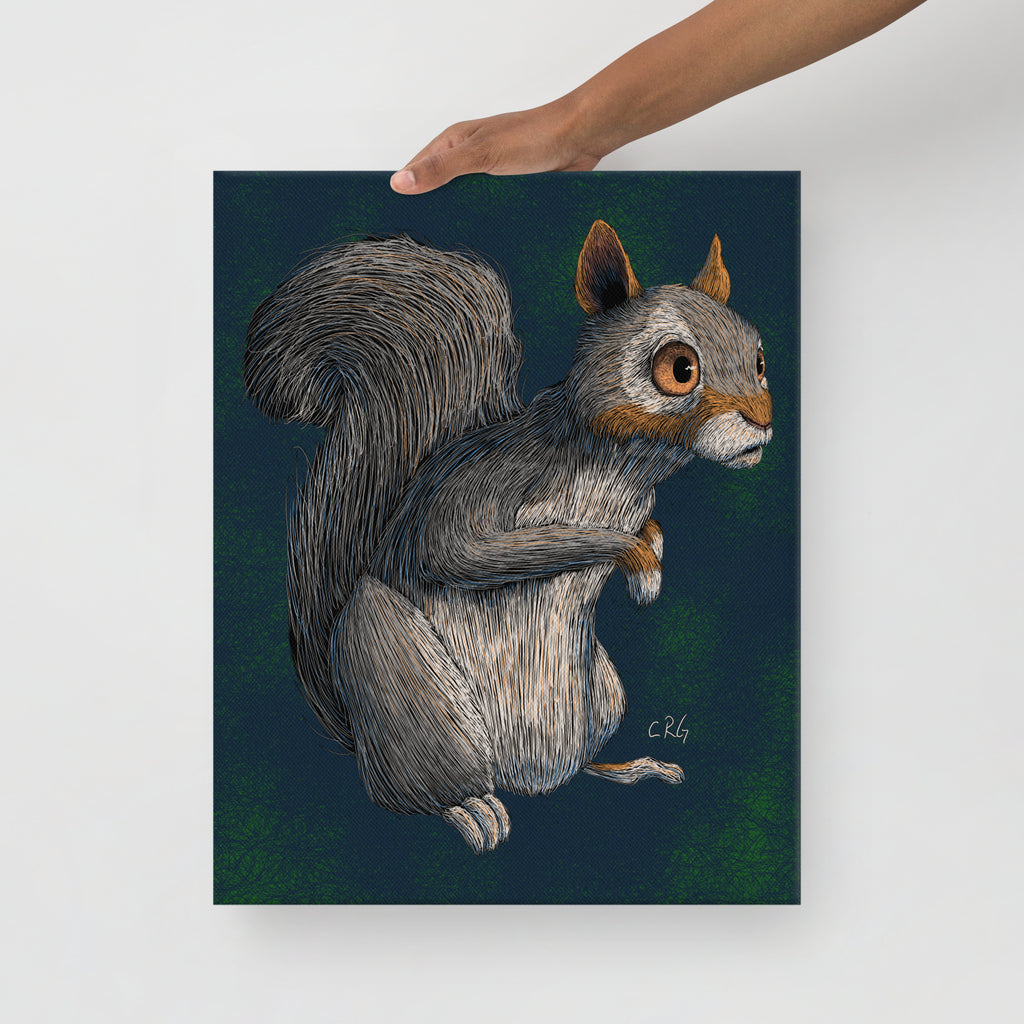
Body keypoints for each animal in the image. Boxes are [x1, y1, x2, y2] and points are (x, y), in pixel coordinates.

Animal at [244, 220, 772, 853]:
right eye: (679, 368)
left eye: (760, 358)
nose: (763, 421)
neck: (625, 467)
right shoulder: (485, 489)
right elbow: (468, 551)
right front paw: (639, 563)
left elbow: (650, 525)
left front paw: (654, 557)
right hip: (410, 692)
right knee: (418, 791)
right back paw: (470, 810)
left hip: (603, 695)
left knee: (576, 766)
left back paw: (632, 768)